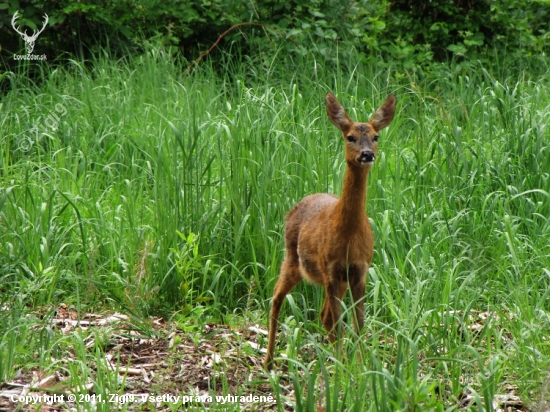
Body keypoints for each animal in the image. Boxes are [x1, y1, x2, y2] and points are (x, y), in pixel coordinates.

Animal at [266, 91, 398, 372]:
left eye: (376, 136)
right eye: (350, 137)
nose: (367, 154)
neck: (349, 234)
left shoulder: (359, 270)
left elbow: (358, 323)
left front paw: (358, 366)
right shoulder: (330, 268)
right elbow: (338, 323)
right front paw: (343, 370)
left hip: (335, 279)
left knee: (324, 315)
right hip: (293, 260)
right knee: (277, 299)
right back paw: (268, 361)